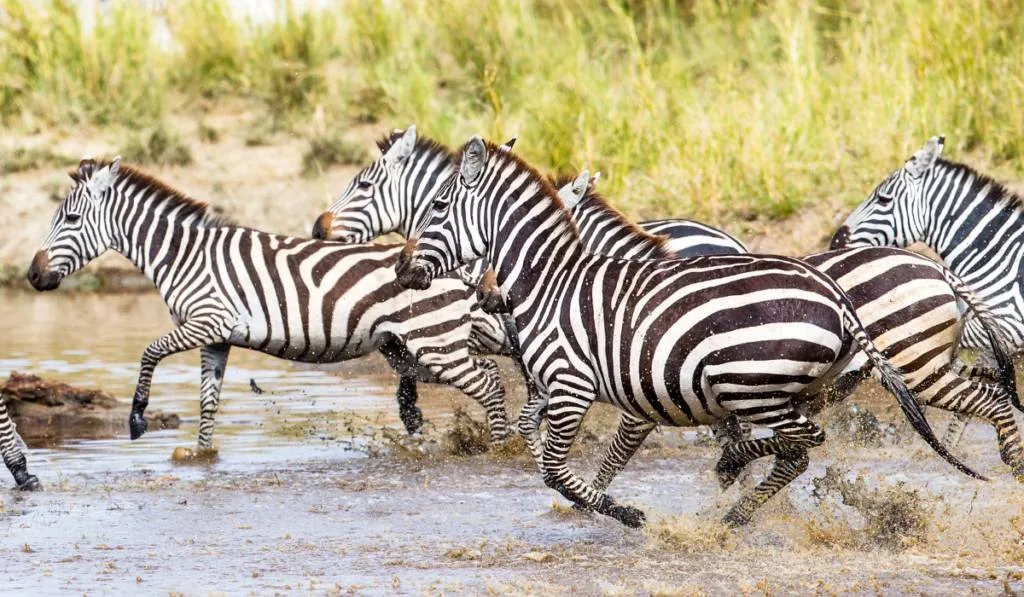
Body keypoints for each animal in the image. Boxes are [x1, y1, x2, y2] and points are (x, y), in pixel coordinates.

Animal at [25, 156, 512, 450]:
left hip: (434, 343)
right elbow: (208, 401)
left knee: (489, 385)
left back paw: (500, 446)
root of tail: (454, 265)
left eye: (70, 218)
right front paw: (203, 455)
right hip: (414, 349)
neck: (183, 255)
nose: (32, 275)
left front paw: (137, 419)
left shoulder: (205, 321)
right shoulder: (216, 337)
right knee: (490, 376)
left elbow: (148, 353)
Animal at [393, 135, 983, 528]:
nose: (401, 271)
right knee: (796, 450)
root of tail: (833, 295)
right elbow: (550, 449)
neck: (554, 279)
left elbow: (562, 468)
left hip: (766, 384)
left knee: (807, 440)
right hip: (783, 388)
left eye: (438, 206)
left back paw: (731, 488)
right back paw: (733, 514)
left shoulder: (577, 386)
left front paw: (621, 512)